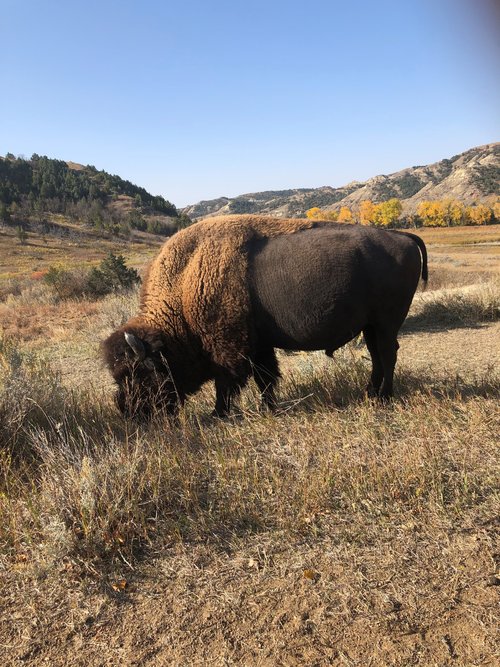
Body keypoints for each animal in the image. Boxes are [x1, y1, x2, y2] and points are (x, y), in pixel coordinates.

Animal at [103, 215, 427, 418]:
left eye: (139, 374)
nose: (130, 412)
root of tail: (403, 236)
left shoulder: (230, 350)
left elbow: (227, 383)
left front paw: (217, 414)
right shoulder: (259, 345)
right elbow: (266, 377)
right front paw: (269, 407)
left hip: (386, 323)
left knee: (387, 354)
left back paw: (384, 397)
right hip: (371, 325)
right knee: (377, 356)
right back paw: (370, 393)